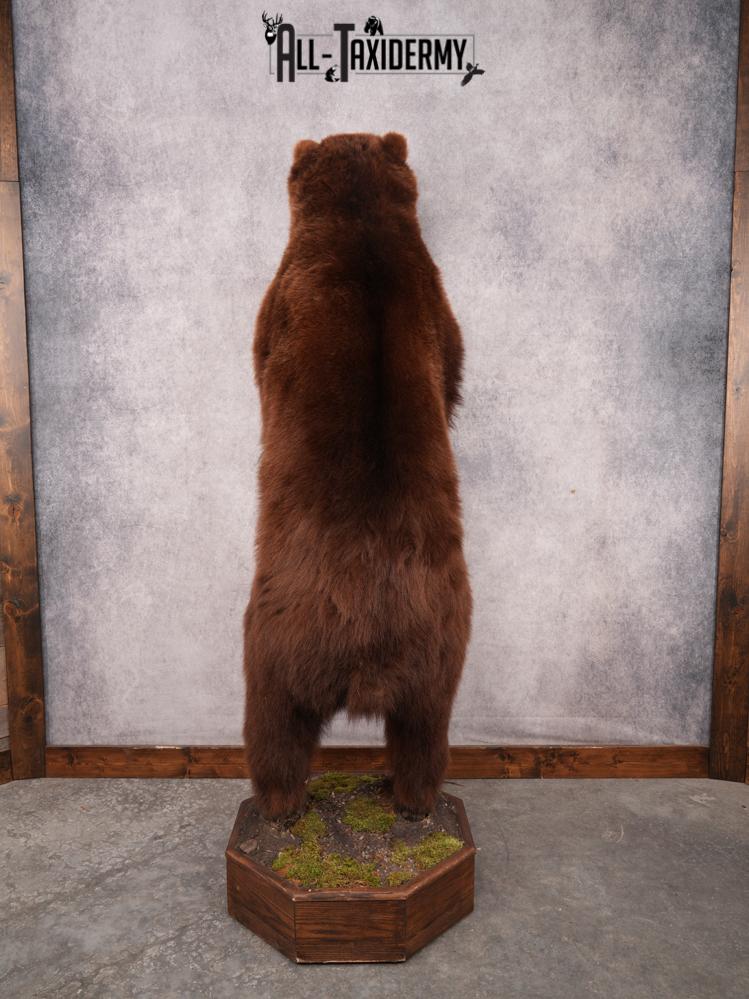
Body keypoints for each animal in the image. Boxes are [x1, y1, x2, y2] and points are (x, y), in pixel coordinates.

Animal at [243, 132, 472, 822]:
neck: (359, 223)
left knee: (275, 728)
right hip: (440, 646)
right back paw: (415, 799)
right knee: (423, 732)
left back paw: (279, 805)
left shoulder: (286, 290)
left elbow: (259, 348)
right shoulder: (429, 292)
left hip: (274, 639)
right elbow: (451, 348)